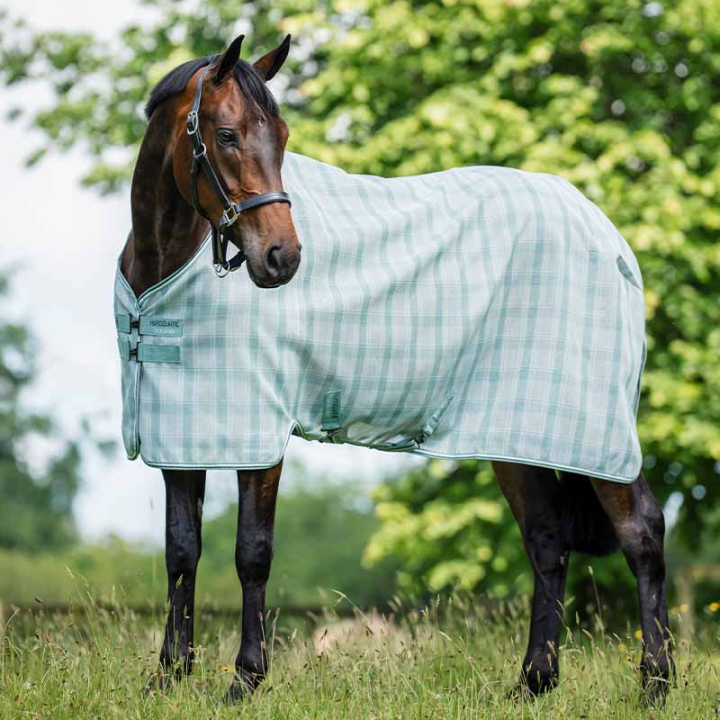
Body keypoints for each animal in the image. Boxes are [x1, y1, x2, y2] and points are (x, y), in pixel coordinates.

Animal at [120, 34, 672, 704]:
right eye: (225, 135)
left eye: (281, 135)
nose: (282, 258)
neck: (166, 270)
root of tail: (609, 236)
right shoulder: (180, 427)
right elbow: (181, 551)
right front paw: (168, 675)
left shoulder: (260, 433)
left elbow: (252, 552)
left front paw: (245, 681)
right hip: (517, 433)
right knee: (547, 540)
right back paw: (533, 683)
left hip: (595, 425)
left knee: (641, 531)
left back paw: (655, 685)